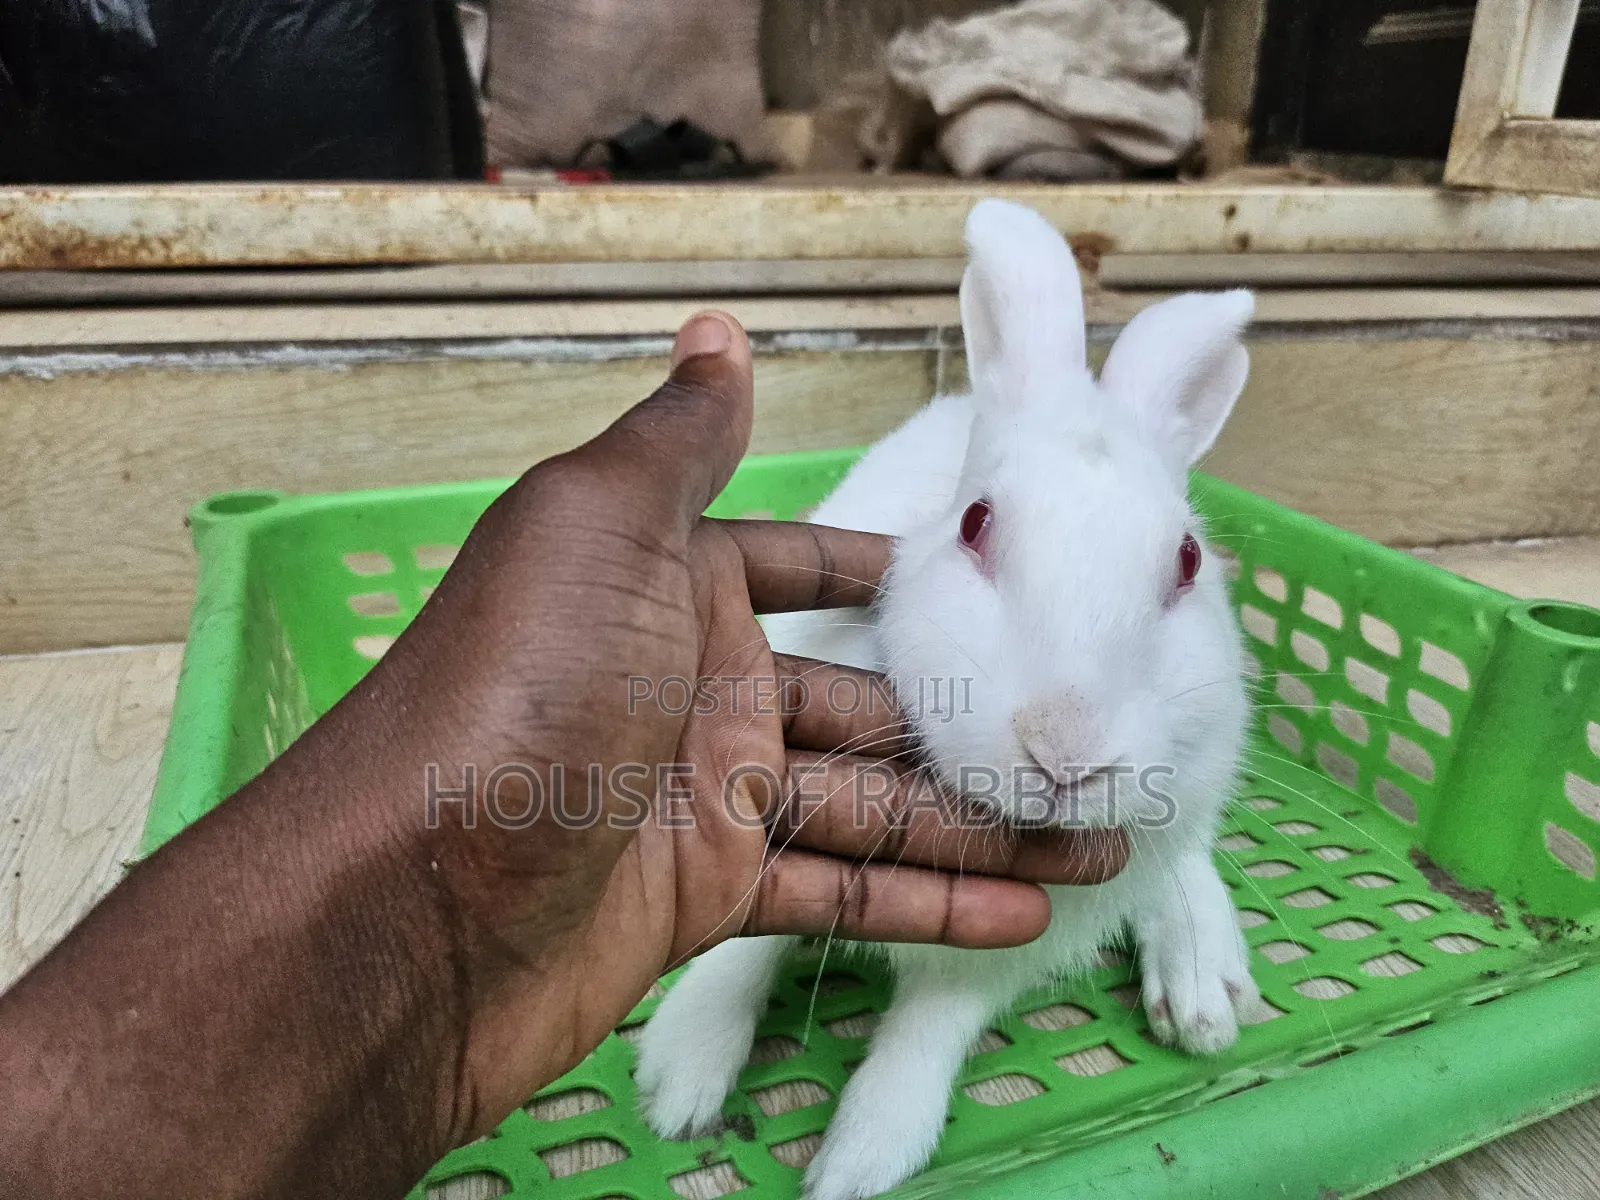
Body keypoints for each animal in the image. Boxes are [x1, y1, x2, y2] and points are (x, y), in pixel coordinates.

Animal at [635, 197, 1261, 1200]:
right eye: (974, 524)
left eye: (1191, 560)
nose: (1064, 750)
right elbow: (746, 947)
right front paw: (678, 1081)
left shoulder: (1001, 957)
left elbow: (926, 1033)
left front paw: (858, 1164)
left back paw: (1205, 990)